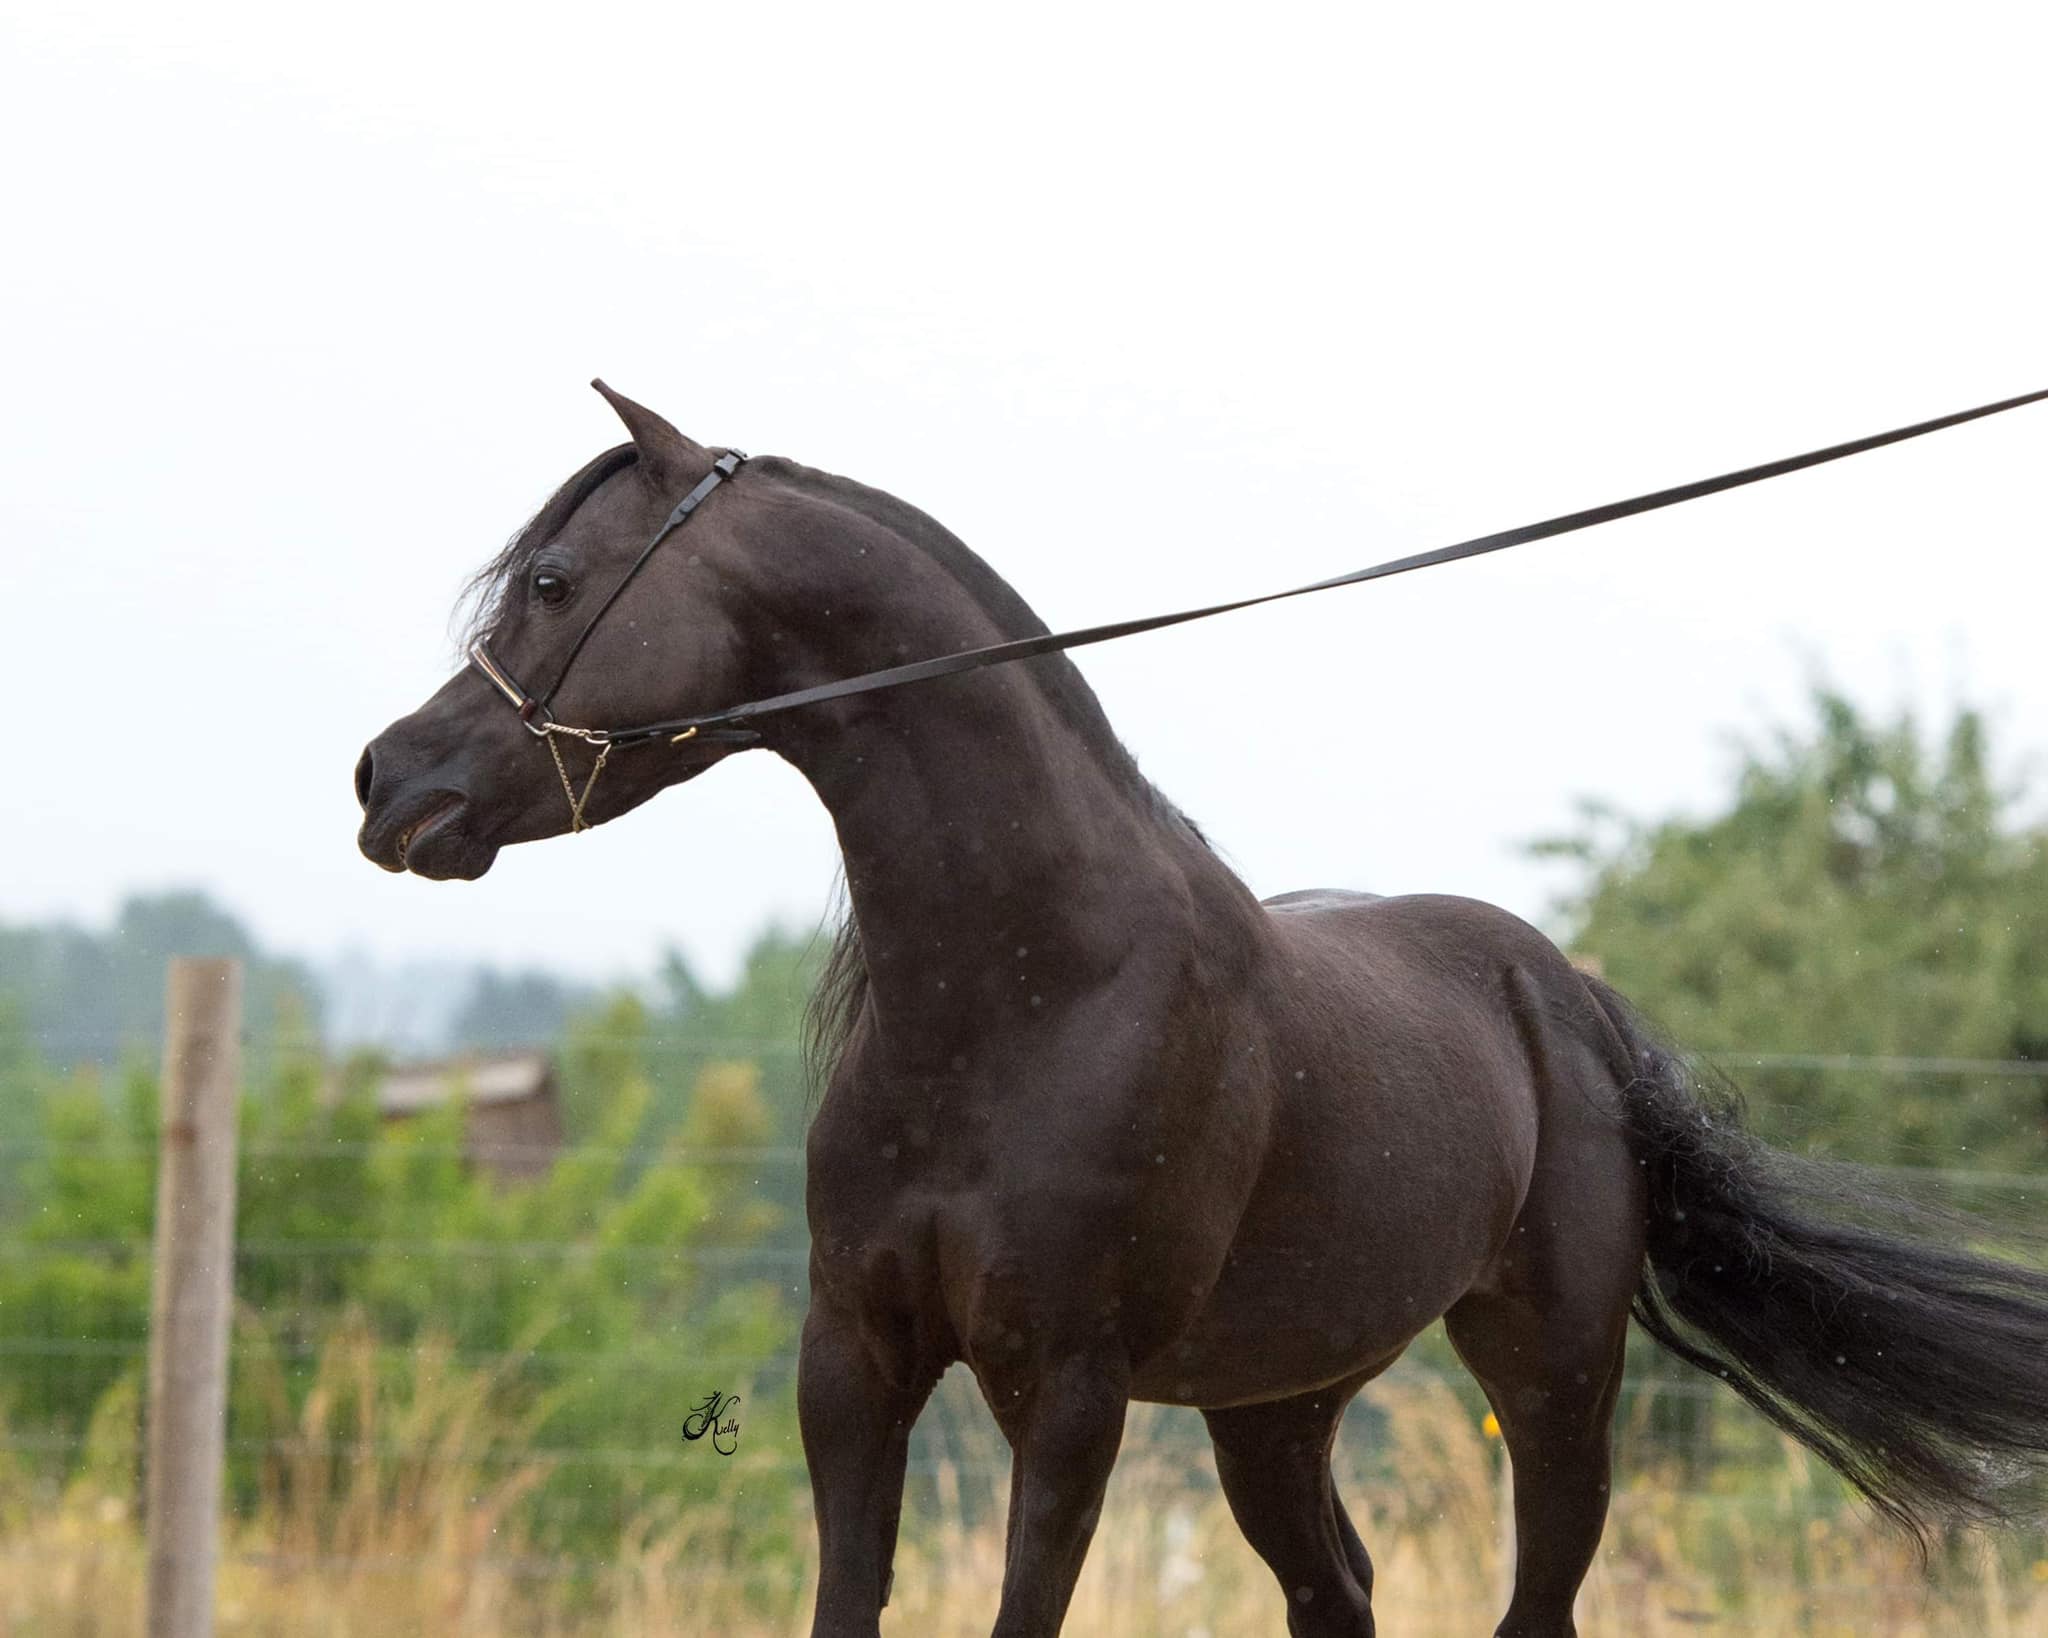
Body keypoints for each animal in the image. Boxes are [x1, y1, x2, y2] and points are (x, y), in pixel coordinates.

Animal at [355, 382, 2048, 1637]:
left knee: (1533, 1603)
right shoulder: (853, 1363)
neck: (1025, 994)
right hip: (1277, 1406)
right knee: (1338, 1590)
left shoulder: (1069, 1393)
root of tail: (1567, 996)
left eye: (555, 583)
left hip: (1556, 1378)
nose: (390, 780)